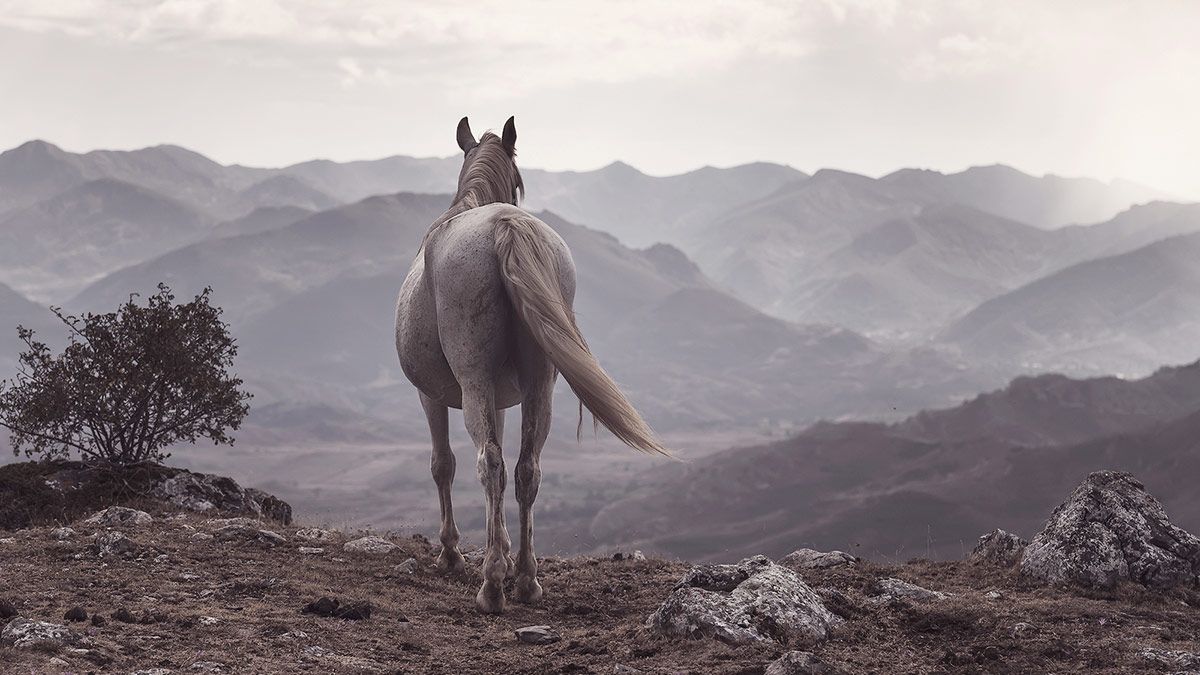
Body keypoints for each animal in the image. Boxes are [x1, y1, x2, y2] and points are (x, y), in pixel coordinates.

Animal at [398, 118, 672, 612]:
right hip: (539, 383)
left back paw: (491, 586)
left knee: (489, 464)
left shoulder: (431, 394)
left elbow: (443, 463)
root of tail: (504, 226)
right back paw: (525, 578)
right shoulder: (502, 399)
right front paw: (505, 552)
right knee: (527, 467)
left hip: (474, 382)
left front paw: (452, 554)